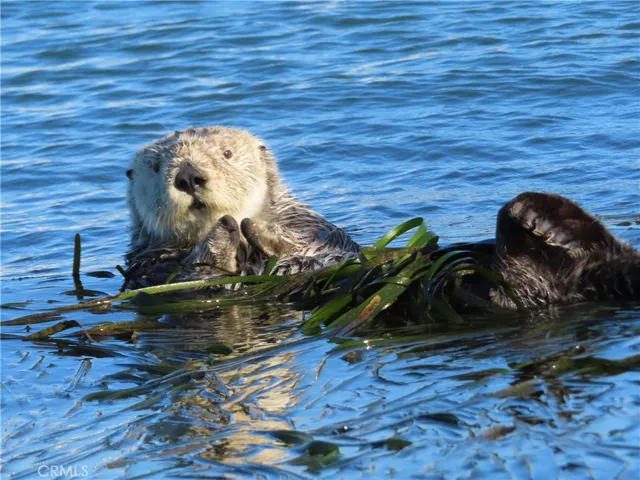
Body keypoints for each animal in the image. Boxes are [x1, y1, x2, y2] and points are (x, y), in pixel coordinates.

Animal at [125, 126, 359, 286]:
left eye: (227, 154)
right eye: (155, 167)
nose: (188, 177)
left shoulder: (313, 227)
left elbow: (315, 242)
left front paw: (257, 228)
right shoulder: (149, 265)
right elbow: (189, 276)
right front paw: (221, 234)